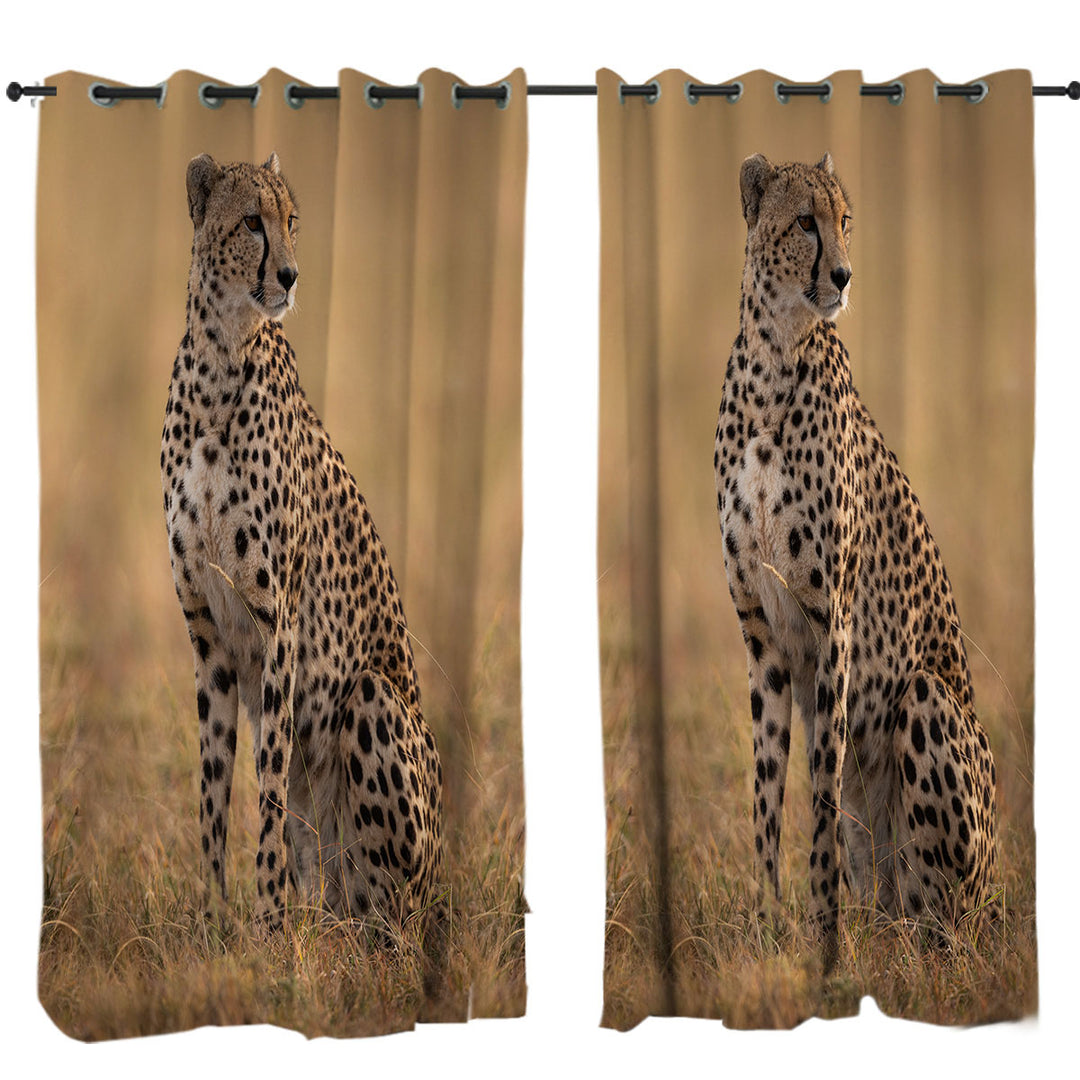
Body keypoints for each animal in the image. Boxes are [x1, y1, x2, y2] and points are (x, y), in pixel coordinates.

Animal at [160, 152, 444, 935]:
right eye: (252, 222)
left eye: (291, 220)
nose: (289, 276)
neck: (222, 357)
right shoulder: (209, 634)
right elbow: (213, 788)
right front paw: (210, 920)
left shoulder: (276, 622)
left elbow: (268, 788)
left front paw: (265, 925)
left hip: (374, 698)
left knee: (391, 915)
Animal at [713, 152, 998, 971]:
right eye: (805, 222)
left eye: (845, 220)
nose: (843, 275)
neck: (776, 357)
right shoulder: (765, 639)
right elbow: (767, 796)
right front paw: (767, 928)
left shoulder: (830, 625)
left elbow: (819, 794)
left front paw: (824, 946)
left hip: (928, 699)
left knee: (938, 919)